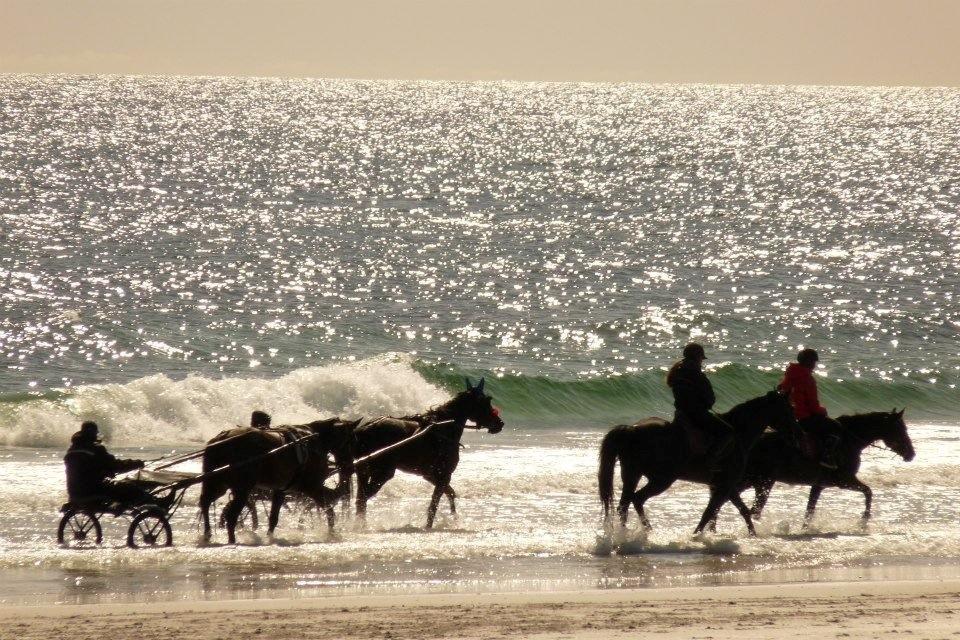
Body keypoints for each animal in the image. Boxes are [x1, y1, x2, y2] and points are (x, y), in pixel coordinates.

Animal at [200, 418, 356, 544]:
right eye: (350, 441)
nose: (350, 468)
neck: (313, 440)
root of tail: (222, 439)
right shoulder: (312, 487)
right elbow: (329, 509)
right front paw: (331, 533)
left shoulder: (281, 489)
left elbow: (273, 518)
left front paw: (270, 537)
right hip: (242, 489)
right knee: (231, 515)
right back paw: (231, 540)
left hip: (218, 484)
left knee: (205, 503)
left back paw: (207, 533)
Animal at [350, 376, 502, 528]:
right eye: (486, 401)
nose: (500, 424)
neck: (443, 427)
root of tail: (364, 429)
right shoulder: (444, 476)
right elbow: (434, 505)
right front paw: (430, 525)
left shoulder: (432, 476)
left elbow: (450, 494)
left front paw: (454, 518)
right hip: (382, 473)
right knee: (363, 499)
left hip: (364, 472)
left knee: (360, 499)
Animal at [600, 390, 796, 536]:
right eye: (787, 411)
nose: (797, 435)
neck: (739, 434)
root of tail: (631, 429)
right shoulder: (726, 484)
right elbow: (712, 511)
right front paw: (696, 535)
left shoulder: (727, 485)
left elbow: (737, 510)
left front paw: (752, 534)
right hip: (660, 480)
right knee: (635, 500)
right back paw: (642, 532)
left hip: (633, 476)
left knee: (625, 505)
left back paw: (630, 533)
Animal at [736, 408, 916, 528]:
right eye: (901, 429)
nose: (912, 454)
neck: (850, 440)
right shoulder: (844, 481)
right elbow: (868, 492)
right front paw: (864, 519)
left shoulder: (819, 485)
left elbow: (810, 511)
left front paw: (805, 529)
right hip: (758, 481)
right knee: (751, 508)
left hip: (757, 482)